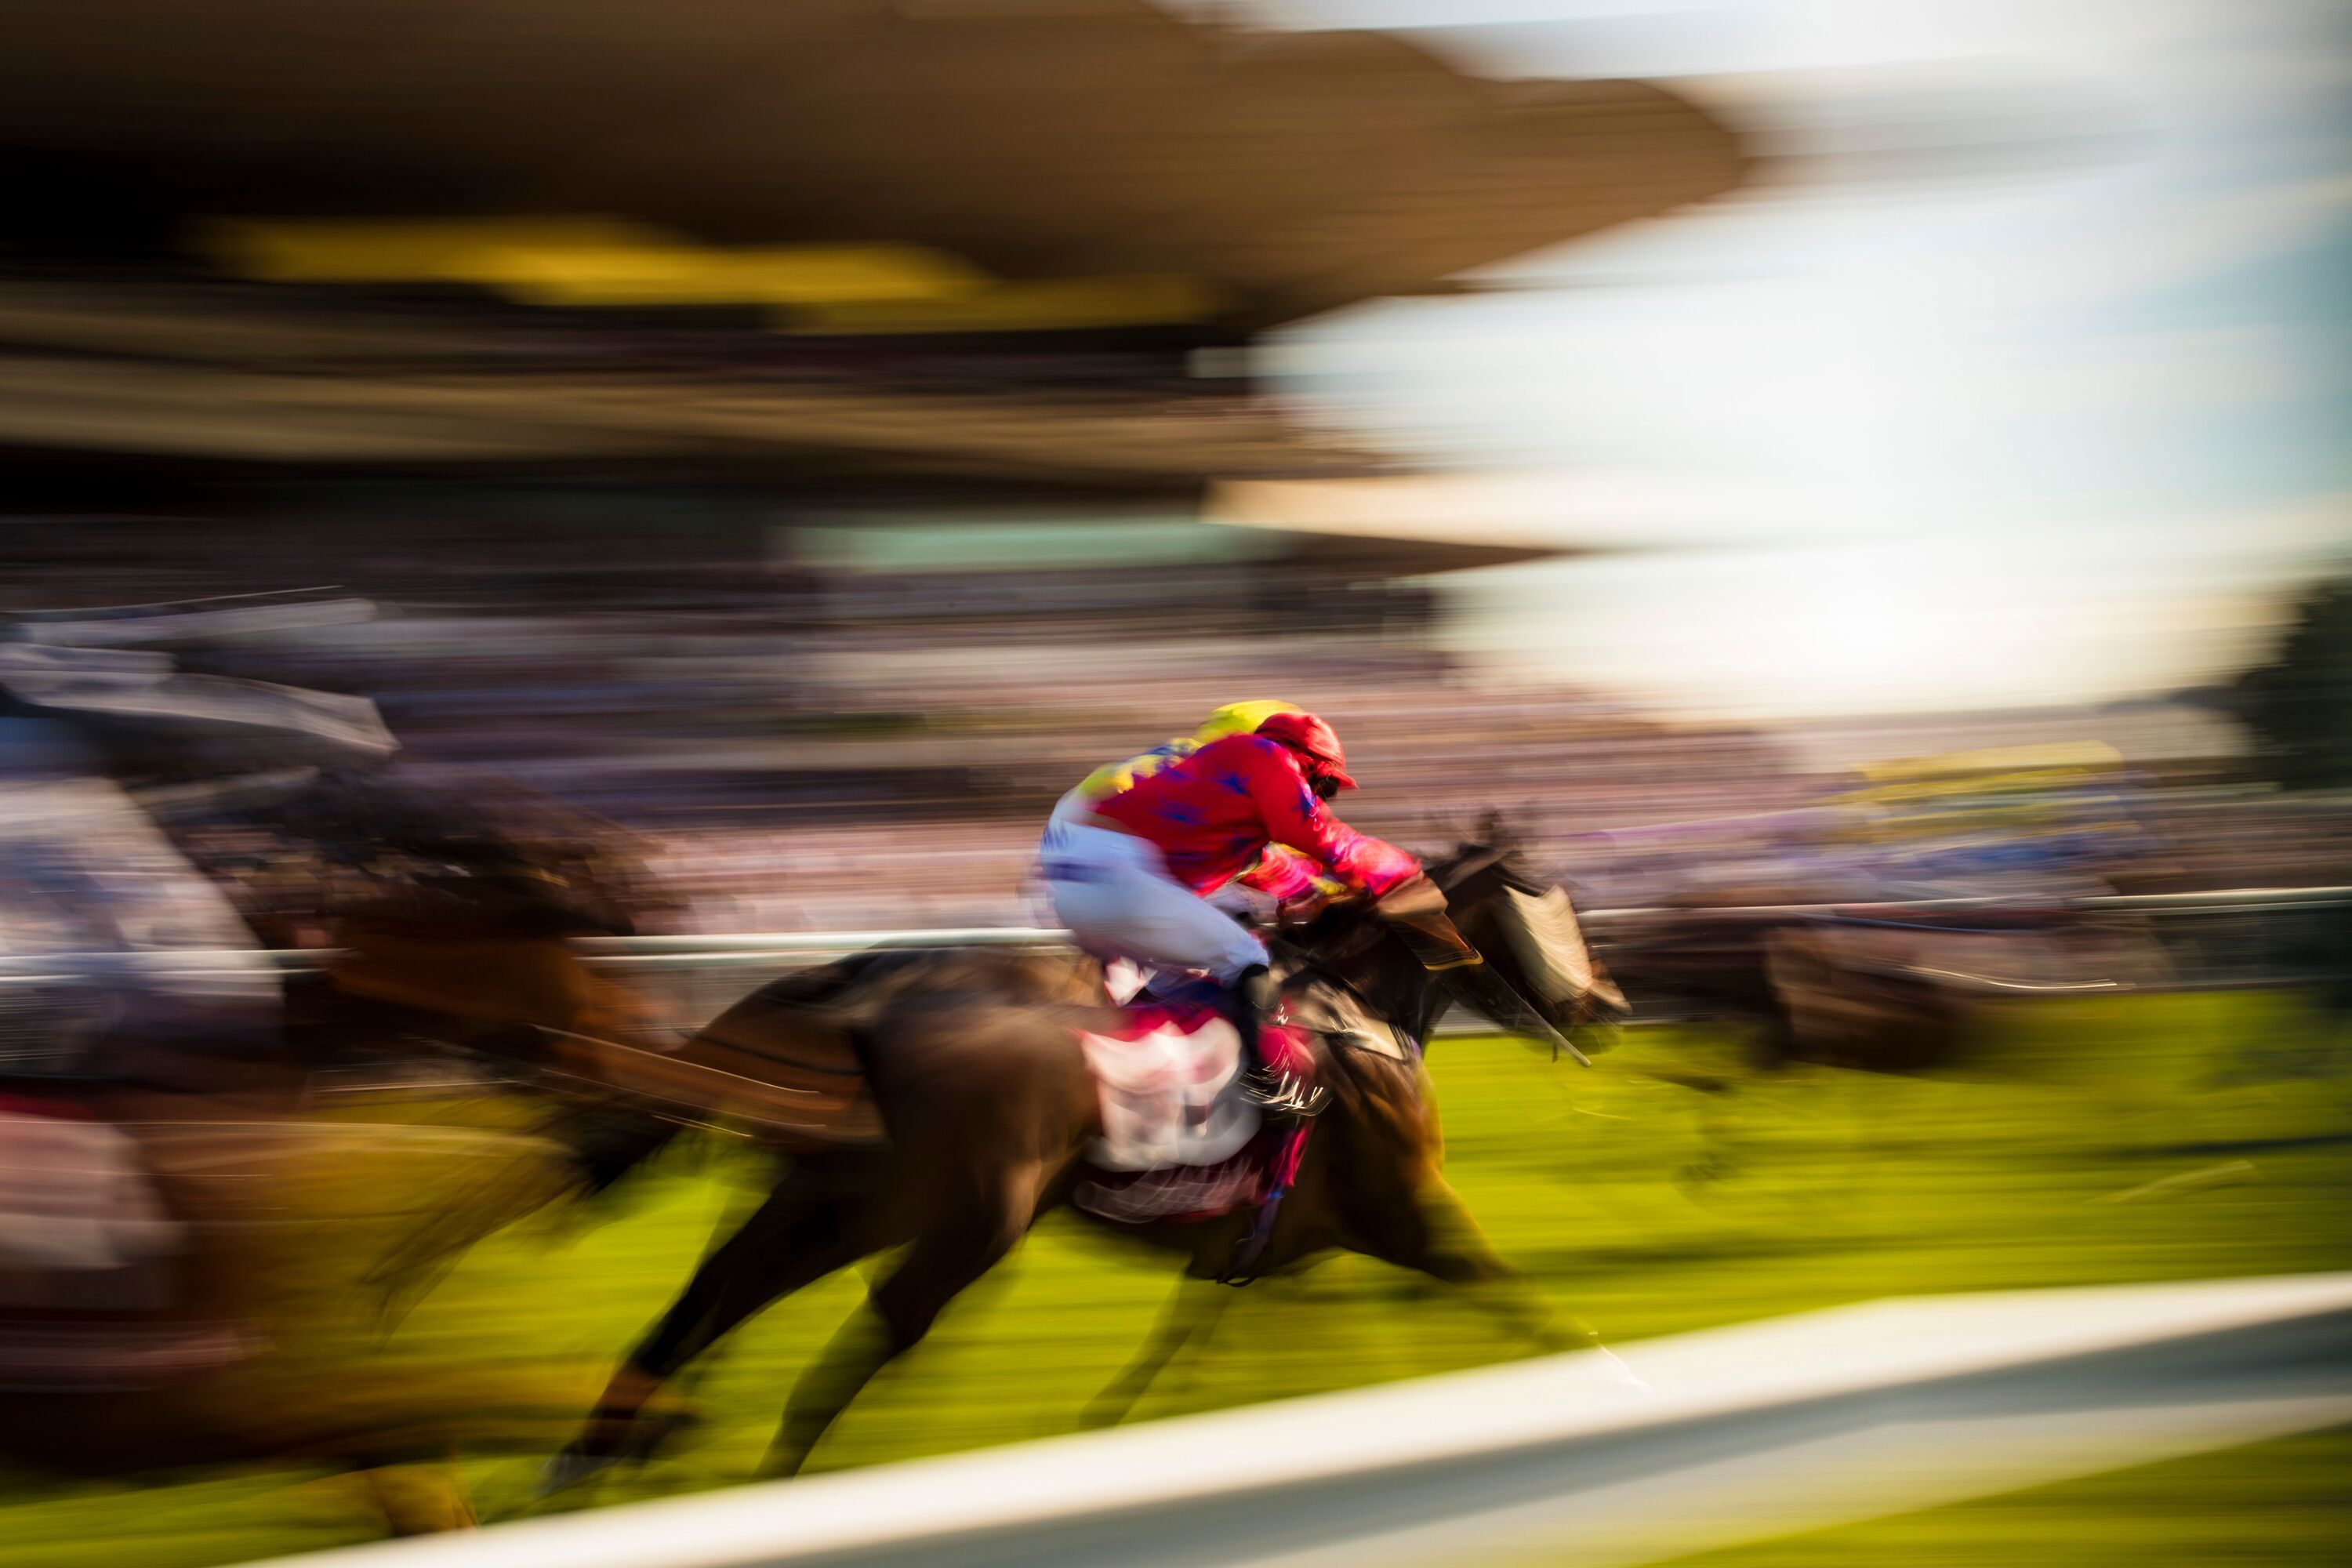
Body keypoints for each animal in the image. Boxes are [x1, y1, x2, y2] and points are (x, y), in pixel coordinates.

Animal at [539, 841, 1628, 1495]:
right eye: (1559, 908)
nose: (1609, 1004)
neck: (1359, 1014)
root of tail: (868, 978)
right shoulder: (1411, 1214)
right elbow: (1525, 1302)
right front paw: (1612, 1382)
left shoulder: (1265, 1253)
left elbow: (1210, 1348)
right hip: (972, 1214)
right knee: (861, 1332)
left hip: (839, 1196)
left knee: (714, 1291)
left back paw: (606, 1448)